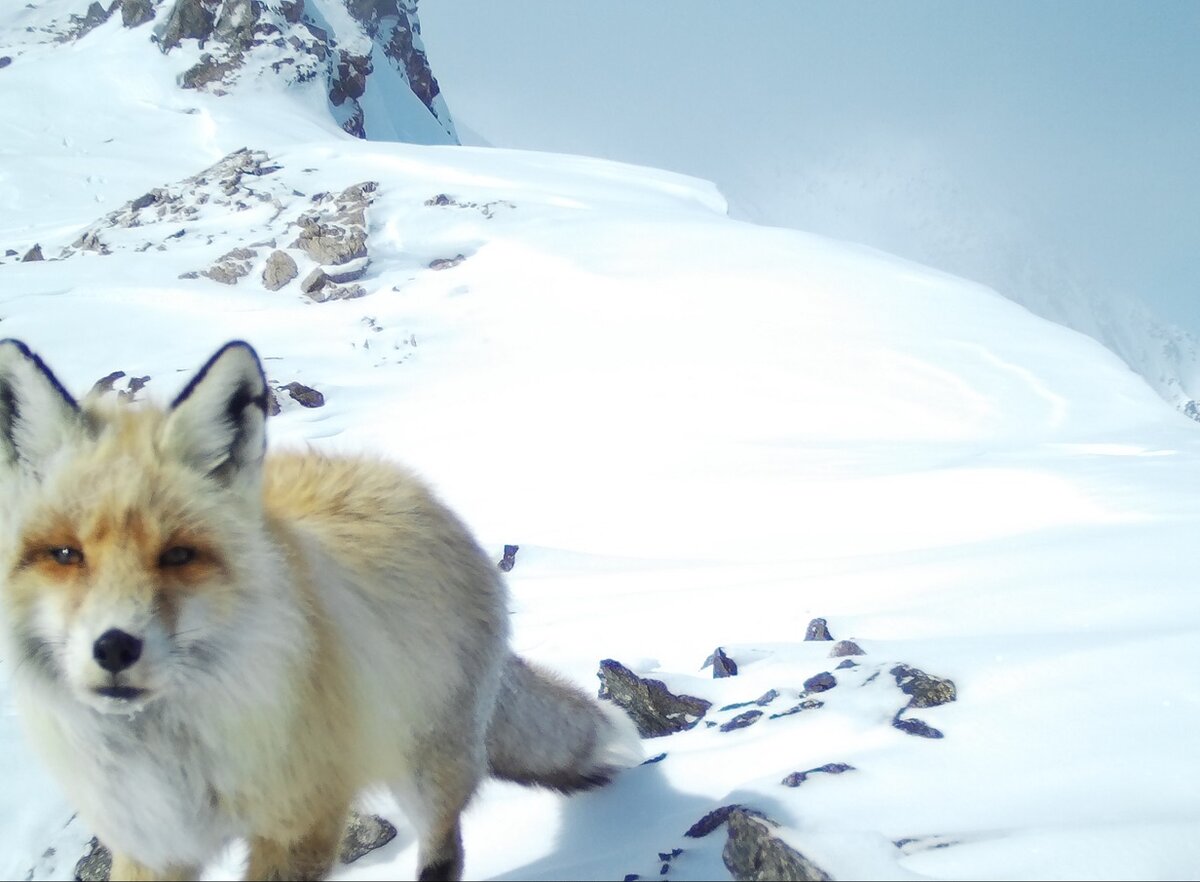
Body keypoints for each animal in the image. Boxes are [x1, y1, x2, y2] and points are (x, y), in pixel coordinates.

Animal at [0, 340, 643, 882]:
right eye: (65, 554)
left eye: (179, 555)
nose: (114, 647)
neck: (173, 756)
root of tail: (406, 481)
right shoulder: (152, 841)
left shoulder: (300, 823)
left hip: (423, 768)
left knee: (445, 849)